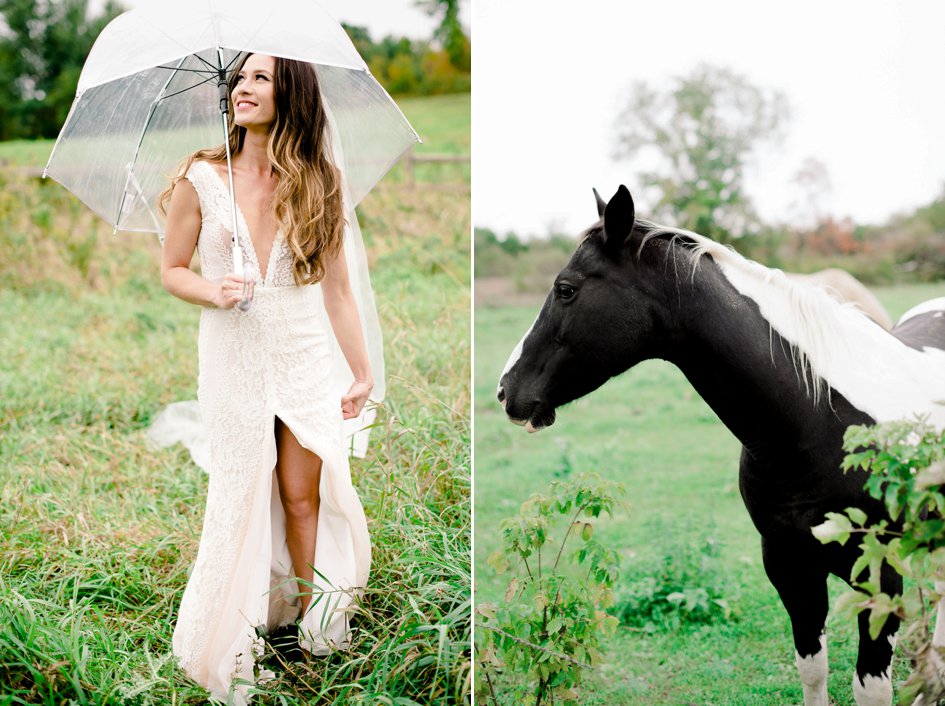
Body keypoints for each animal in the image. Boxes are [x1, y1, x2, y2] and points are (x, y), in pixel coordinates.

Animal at [498, 184, 944, 700]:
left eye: (566, 288)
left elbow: (869, 687)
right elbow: (813, 670)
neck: (821, 423)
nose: (505, 390)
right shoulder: (790, 566)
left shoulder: (880, 577)